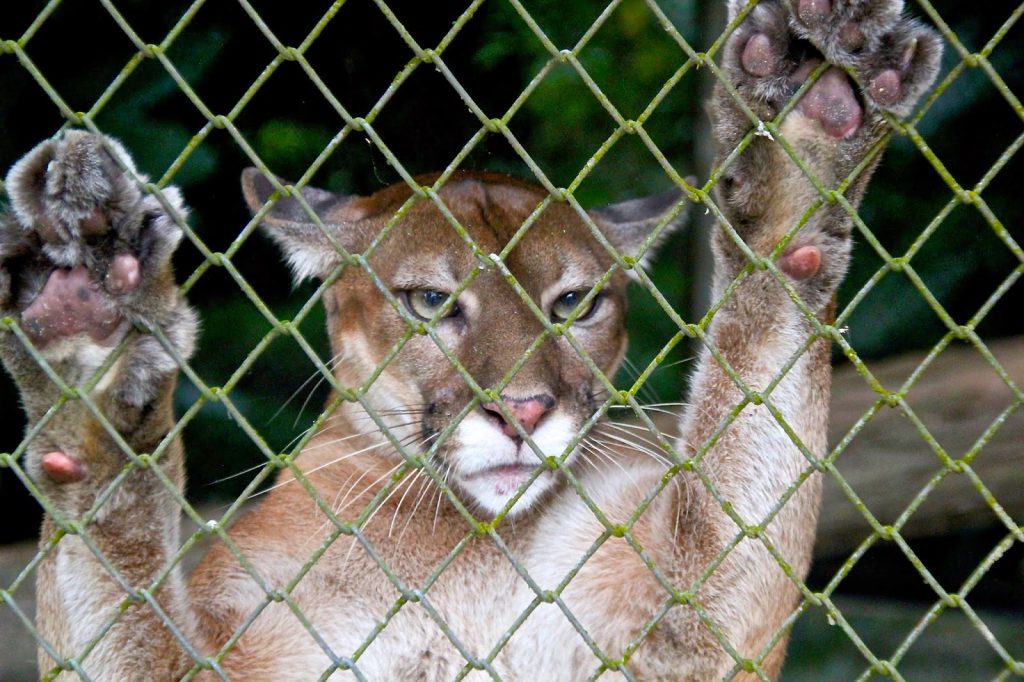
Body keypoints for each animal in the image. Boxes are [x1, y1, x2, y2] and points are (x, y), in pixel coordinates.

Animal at [0, 1, 937, 675]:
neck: (458, 551)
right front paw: (94, 357)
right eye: (428, 301)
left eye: (572, 303)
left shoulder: (692, 633)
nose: (522, 411)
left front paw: (806, 140)